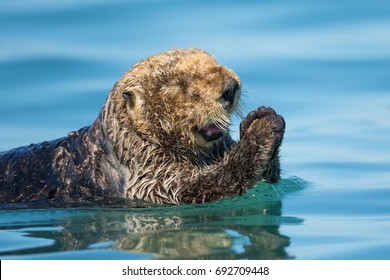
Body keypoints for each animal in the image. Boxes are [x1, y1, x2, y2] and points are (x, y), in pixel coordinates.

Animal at [0, 48, 286, 206]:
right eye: (181, 84)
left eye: (214, 62)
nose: (230, 87)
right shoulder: (149, 177)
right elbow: (196, 188)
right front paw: (259, 132)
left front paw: (260, 117)